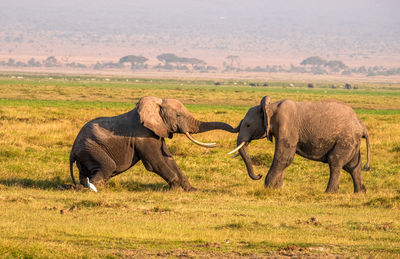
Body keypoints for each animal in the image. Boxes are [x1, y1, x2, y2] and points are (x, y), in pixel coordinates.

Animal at [70, 96, 236, 192]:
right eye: (178, 115)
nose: (238, 127)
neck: (155, 105)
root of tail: (72, 151)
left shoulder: (157, 130)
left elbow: (168, 158)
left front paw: (191, 189)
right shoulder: (143, 134)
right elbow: (156, 161)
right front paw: (175, 189)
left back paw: (82, 186)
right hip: (90, 148)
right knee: (108, 166)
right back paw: (94, 188)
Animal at [230, 96, 370, 194]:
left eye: (248, 125)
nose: (259, 175)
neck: (271, 107)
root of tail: (362, 126)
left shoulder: (287, 127)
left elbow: (284, 157)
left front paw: (268, 188)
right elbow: (285, 159)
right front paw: (277, 189)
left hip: (346, 139)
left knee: (335, 162)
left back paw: (329, 193)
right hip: (351, 141)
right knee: (352, 166)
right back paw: (360, 193)